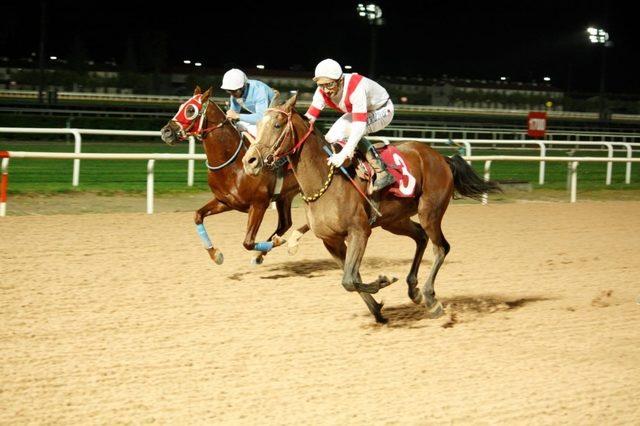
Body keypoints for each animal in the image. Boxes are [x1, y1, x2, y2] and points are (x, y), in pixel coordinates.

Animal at [161, 87, 304, 264]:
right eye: (181, 106)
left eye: (190, 110)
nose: (166, 132)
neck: (233, 166)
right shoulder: (226, 201)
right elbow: (198, 216)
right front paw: (215, 254)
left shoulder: (259, 204)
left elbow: (248, 242)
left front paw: (277, 242)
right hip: (286, 196)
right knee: (285, 224)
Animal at [240, 94, 500, 322]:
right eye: (258, 123)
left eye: (277, 124)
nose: (249, 161)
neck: (326, 180)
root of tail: (441, 157)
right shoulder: (331, 241)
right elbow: (350, 277)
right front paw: (377, 309)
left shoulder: (359, 231)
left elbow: (349, 279)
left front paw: (384, 281)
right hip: (394, 220)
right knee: (421, 237)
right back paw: (413, 289)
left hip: (430, 212)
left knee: (441, 247)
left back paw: (430, 298)